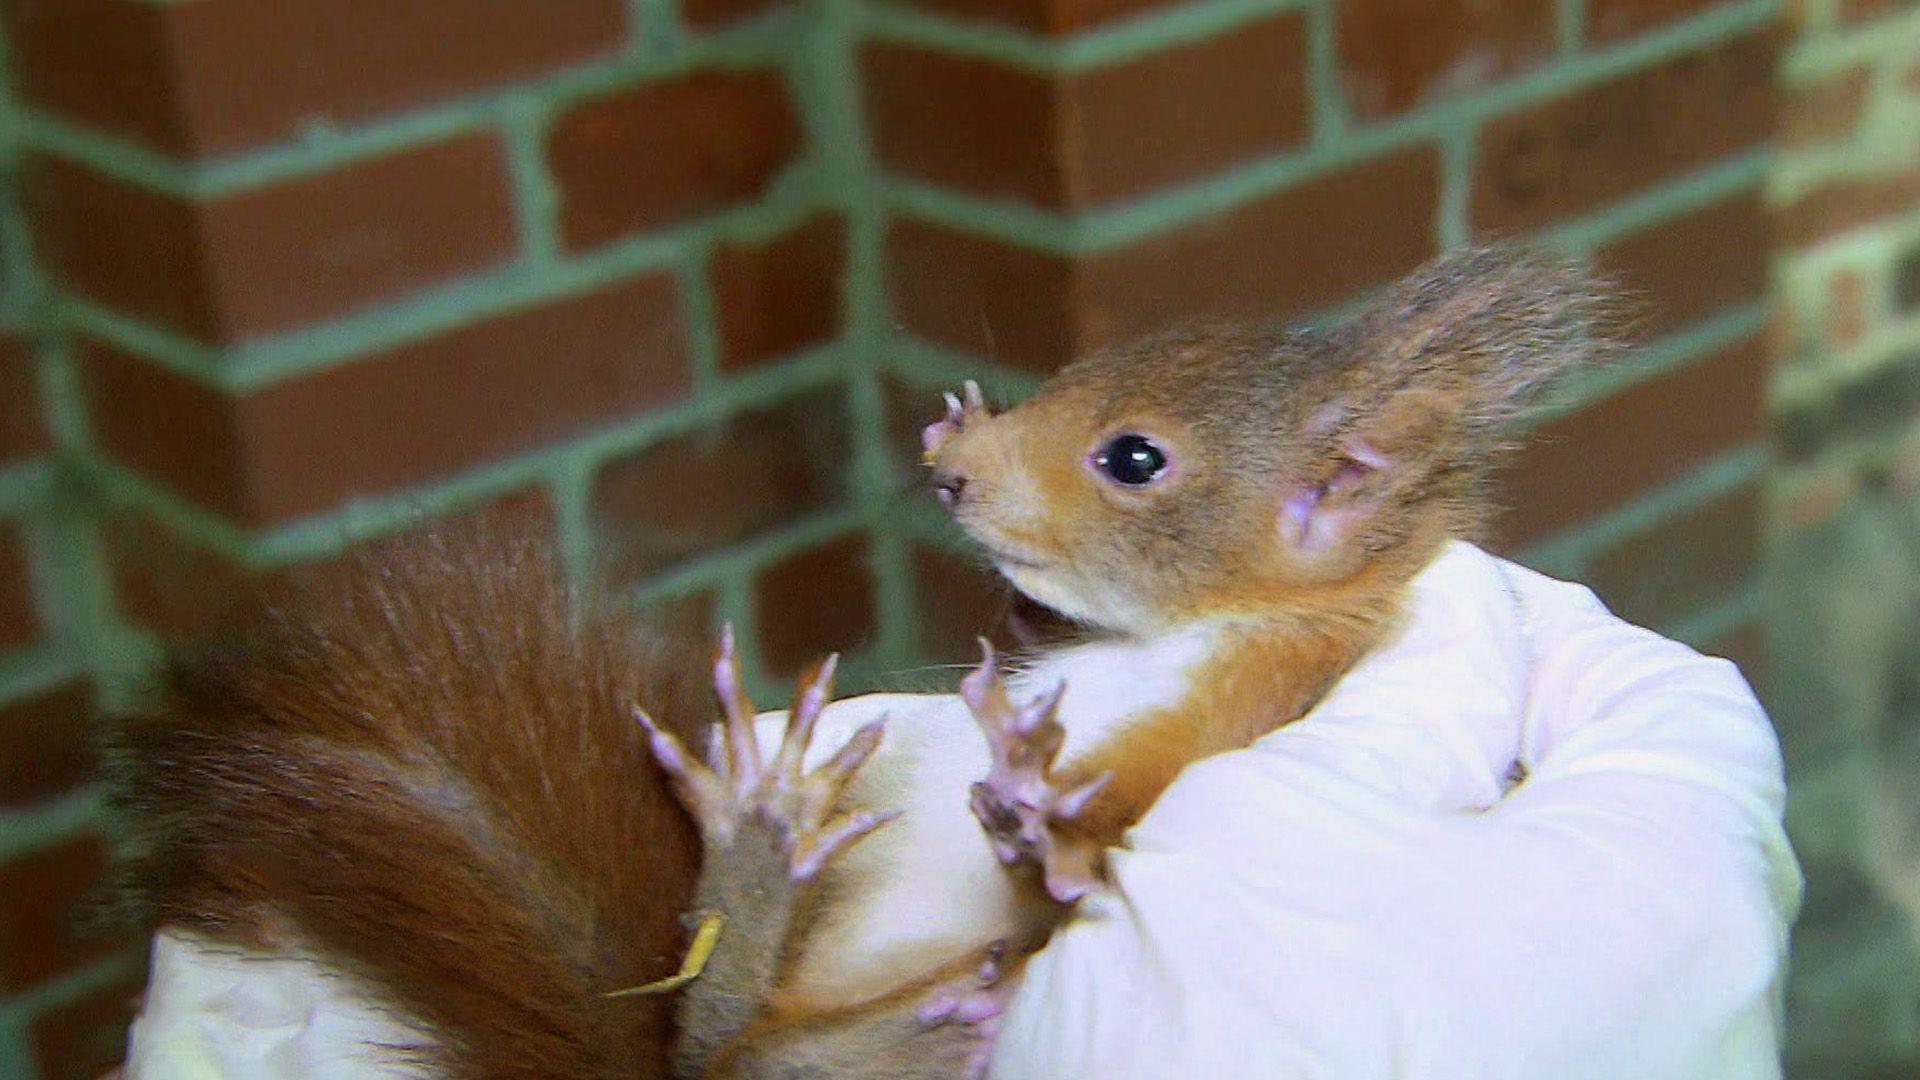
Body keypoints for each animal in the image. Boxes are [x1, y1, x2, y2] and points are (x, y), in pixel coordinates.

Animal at [112, 246, 1607, 1079]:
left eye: (1135, 458)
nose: (950, 468)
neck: (1191, 634)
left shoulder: (1241, 723)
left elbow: (1071, 877)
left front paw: (1042, 807)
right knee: (713, 1037)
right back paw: (762, 834)